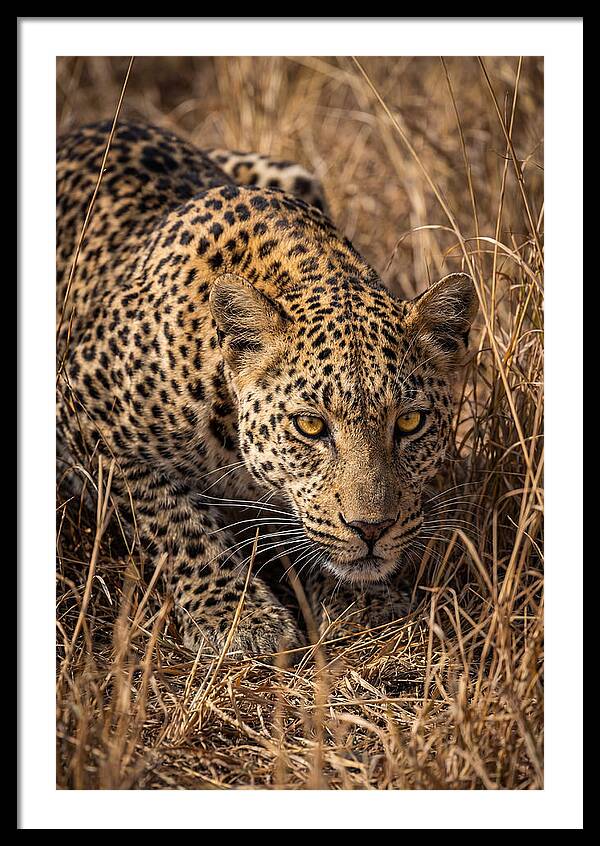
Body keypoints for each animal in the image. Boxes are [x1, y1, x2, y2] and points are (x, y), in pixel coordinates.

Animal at [56, 120, 477, 659]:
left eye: (409, 422)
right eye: (310, 426)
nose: (372, 529)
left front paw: (363, 603)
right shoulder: (82, 406)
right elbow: (173, 520)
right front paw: (239, 618)